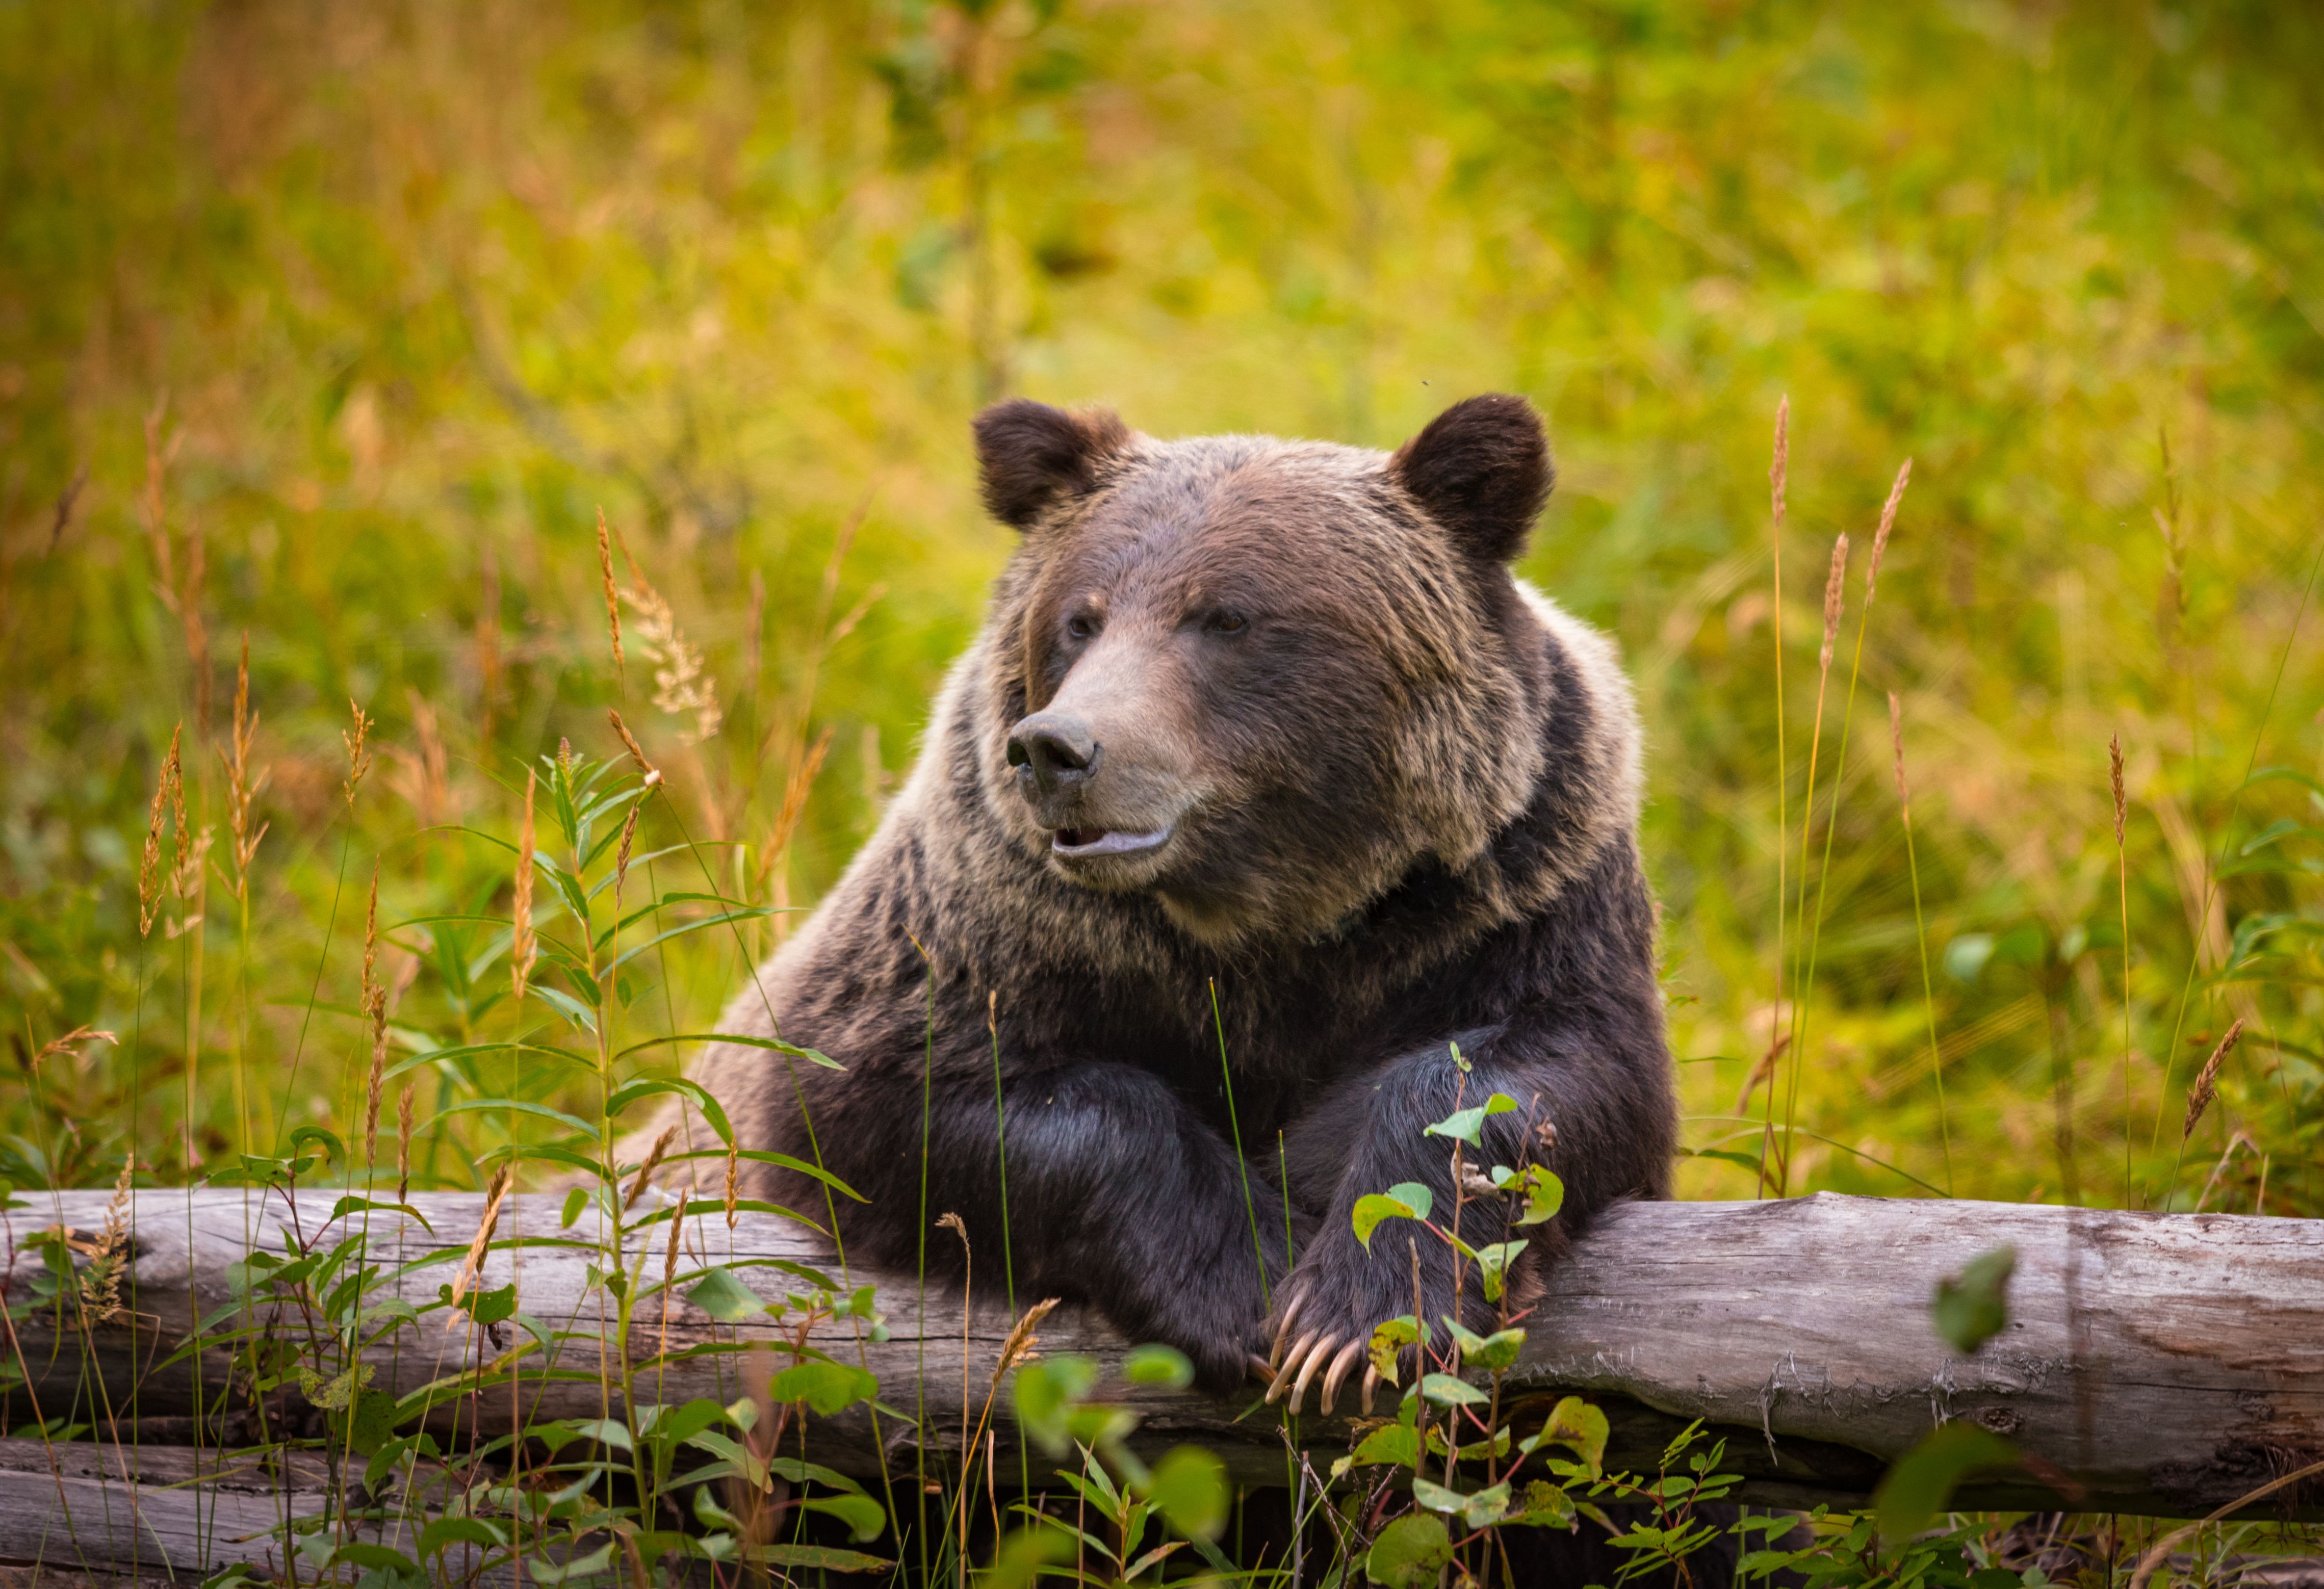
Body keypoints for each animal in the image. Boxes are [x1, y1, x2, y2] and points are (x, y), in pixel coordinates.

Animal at [693, 392, 1675, 1408]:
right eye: (1079, 619)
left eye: (1226, 616)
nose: (1056, 749)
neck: (1263, 916)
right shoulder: (985, 933)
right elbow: (894, 1091)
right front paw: (1247, 1282)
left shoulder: (1516, 899)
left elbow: (1533, 1074)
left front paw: (1351, 1312)